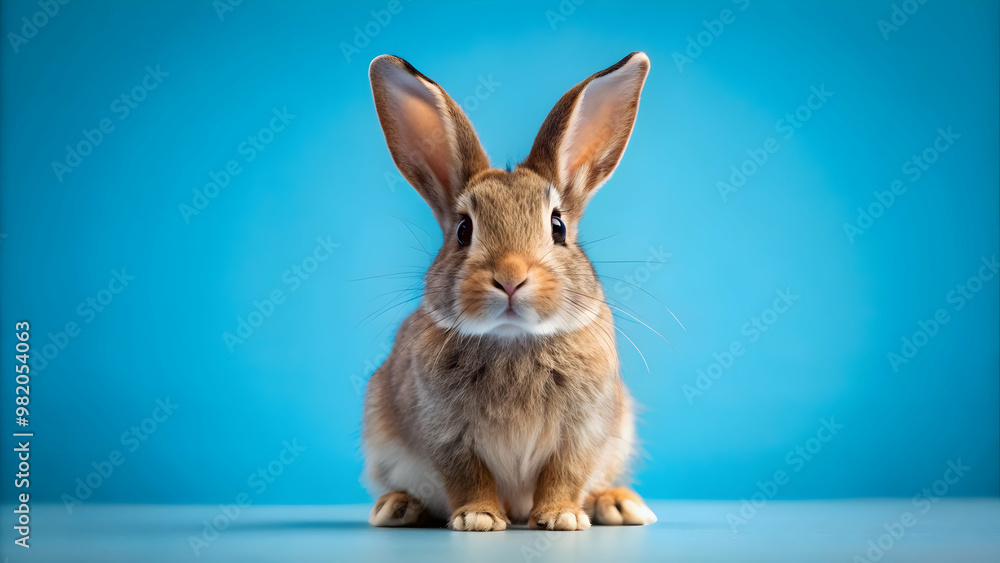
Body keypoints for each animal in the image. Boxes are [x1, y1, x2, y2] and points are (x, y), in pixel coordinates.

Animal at [362, 52, 657, 531]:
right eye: (463, 230)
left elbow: (564, 473)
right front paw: (478, 518)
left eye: (558, 227)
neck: (513, 341)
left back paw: (618, 504)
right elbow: (468, 475)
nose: (510, 277)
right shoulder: (447, 434)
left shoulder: (581, 432)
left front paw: (561, 518)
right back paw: (398, 507)